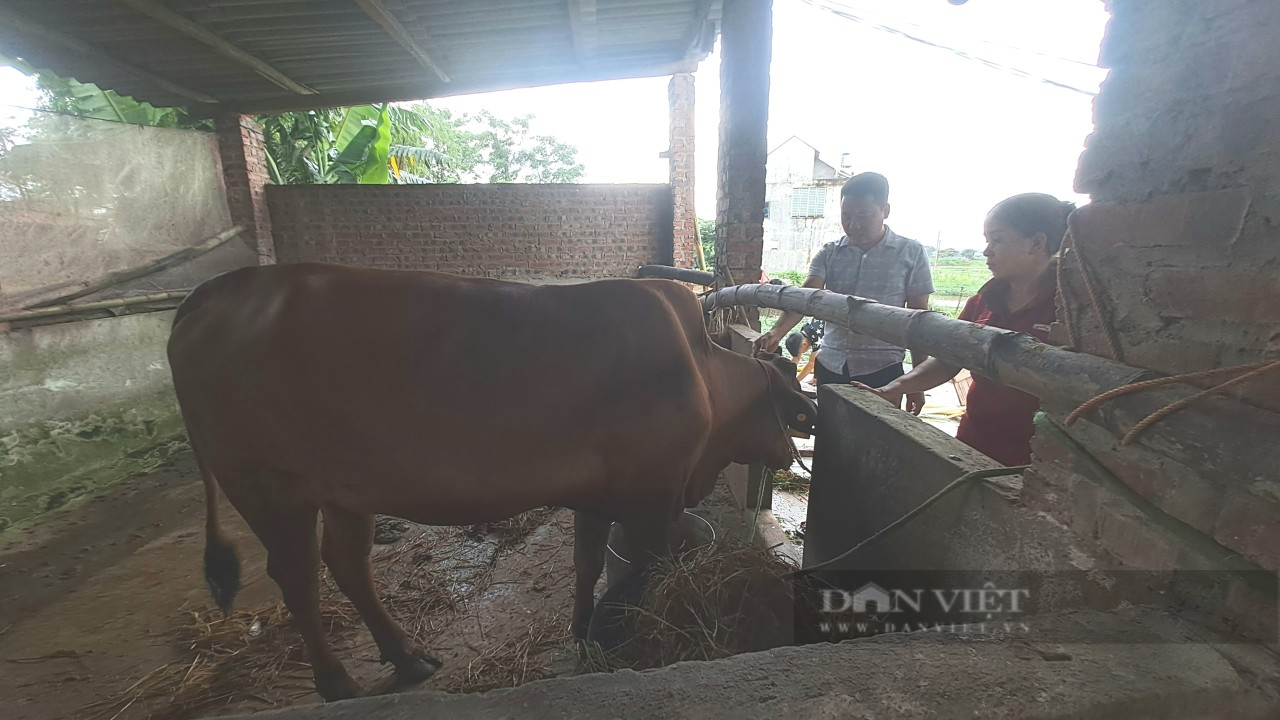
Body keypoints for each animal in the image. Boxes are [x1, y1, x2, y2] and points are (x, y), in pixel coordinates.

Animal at [167, 260, 808, 696]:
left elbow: (587, 566)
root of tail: (223, 288)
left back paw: (406, 658)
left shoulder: (599, 497)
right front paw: (625, 638)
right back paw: (337, 683)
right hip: (272, 491)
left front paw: (581, 630)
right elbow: (641, 580)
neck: (700, 372)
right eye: (791, 407)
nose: (789, 454)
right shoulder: (652, 500)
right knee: (297, 579)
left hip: (346, 492)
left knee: (346, 563)